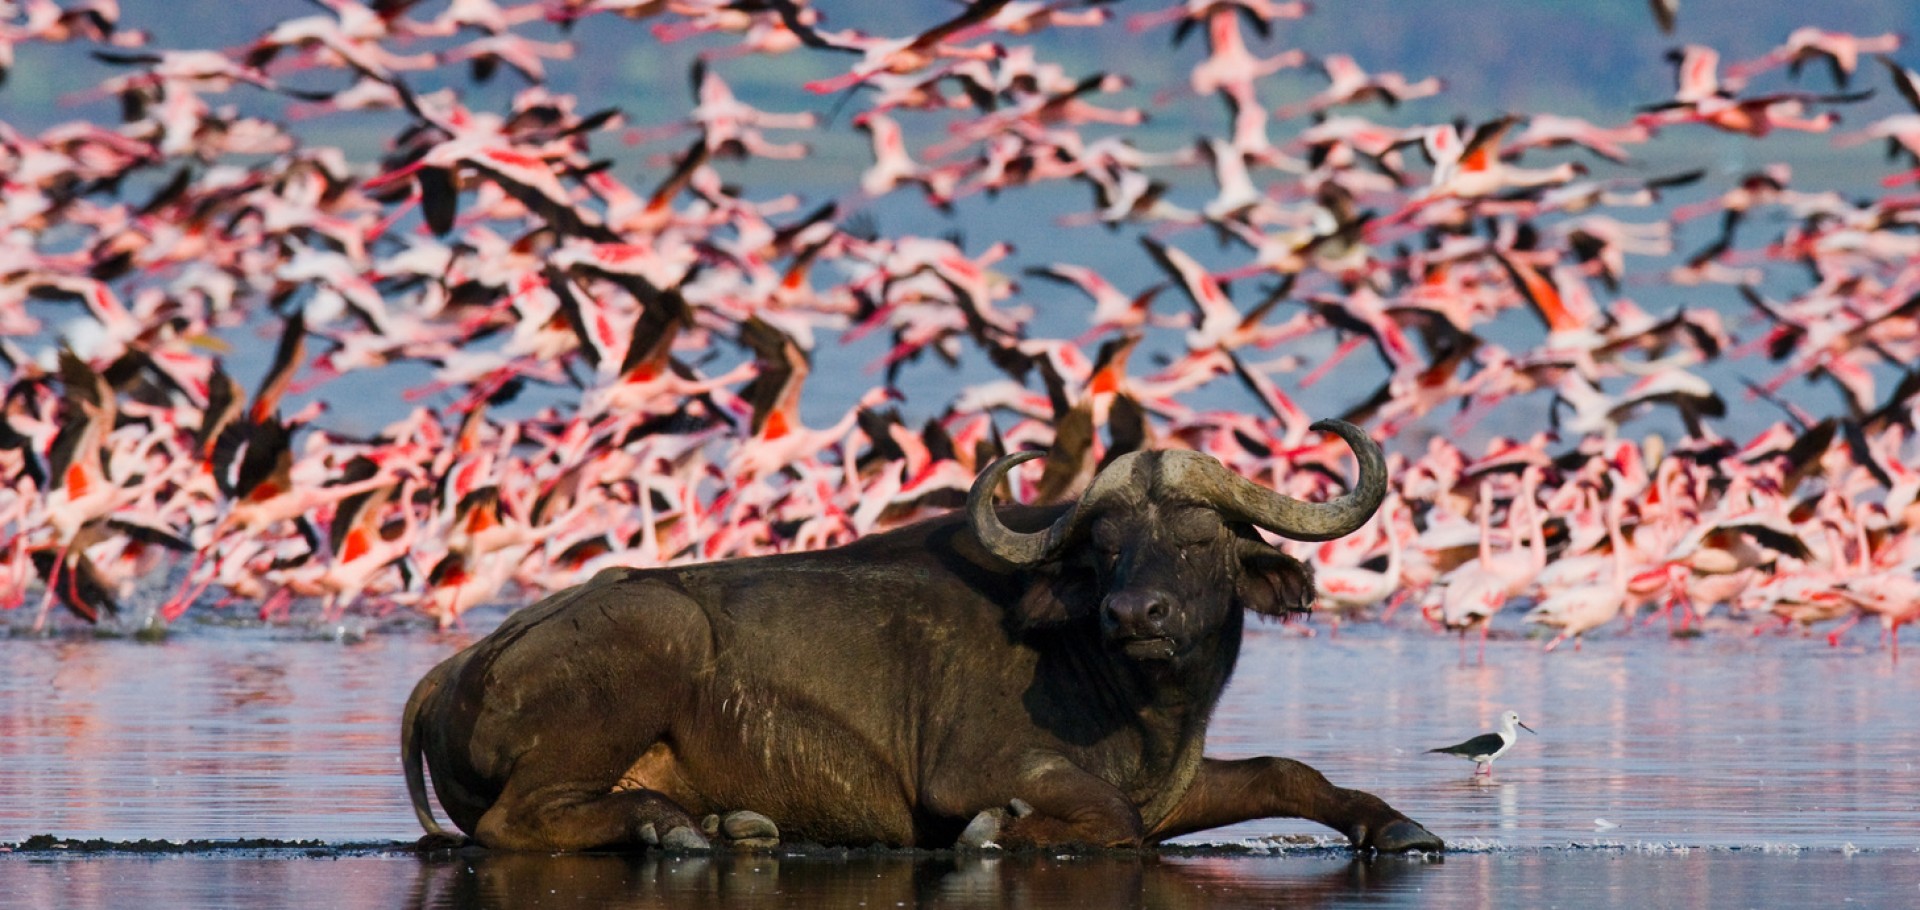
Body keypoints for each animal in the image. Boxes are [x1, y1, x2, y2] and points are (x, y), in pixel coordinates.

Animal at [405, 418, 1443, 852]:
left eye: (1199, 540)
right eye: (1107, 547)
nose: (1134, 616)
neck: (1140, 702)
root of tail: (454, 669)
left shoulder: (1174, 788)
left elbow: (1287, 774)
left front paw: (1398, 826)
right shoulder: (974, 771)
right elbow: (1102, 821)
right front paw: (1000, 834)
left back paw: (724, 825)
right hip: (650, 638)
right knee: (511, 824)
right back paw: (673, 832)